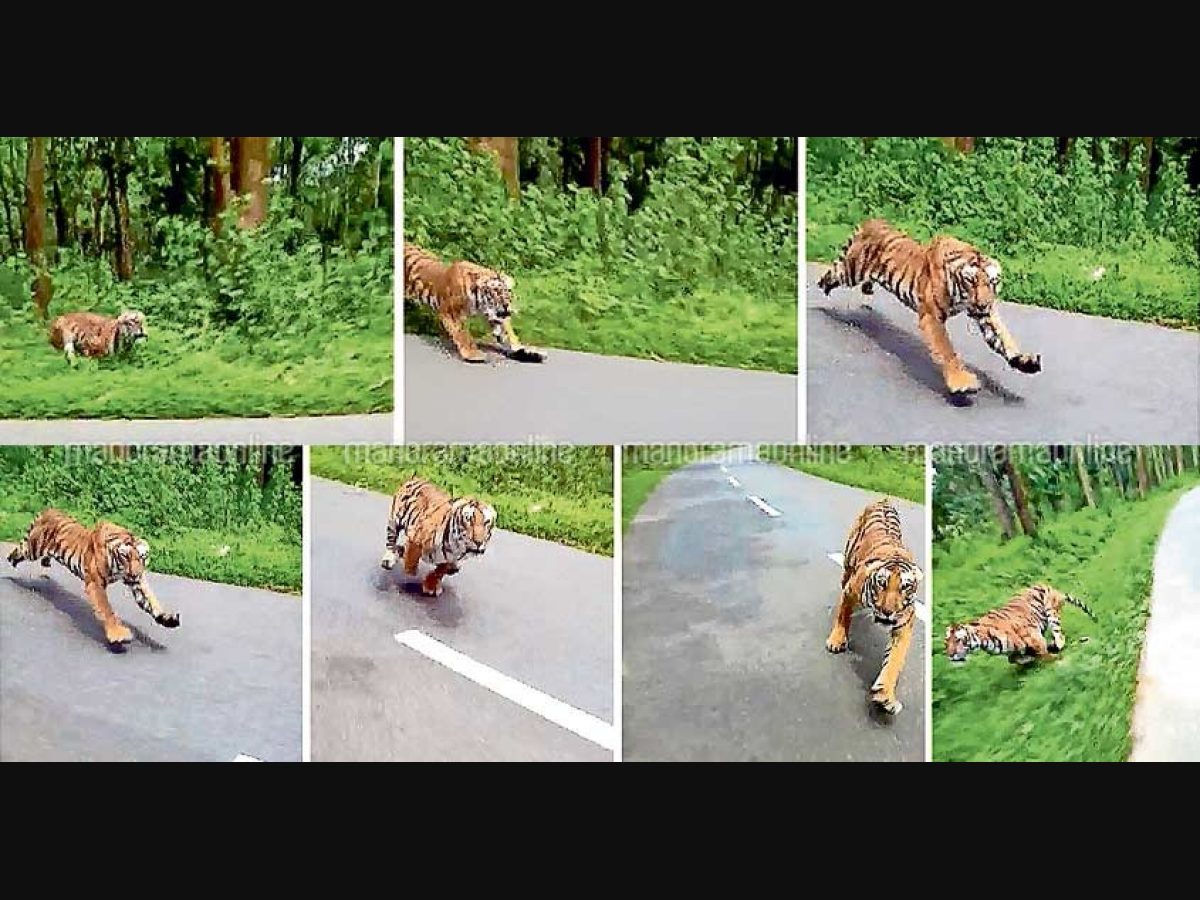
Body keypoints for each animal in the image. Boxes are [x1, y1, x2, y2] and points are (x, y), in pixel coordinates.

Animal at [6, 509, 179, 649]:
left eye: (142, 557)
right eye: (126, 557)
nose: (135, 573)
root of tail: (48, 510)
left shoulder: (137, 582)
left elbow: (151, 601)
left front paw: (167, 619)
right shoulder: (96, 583)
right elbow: (107, 609)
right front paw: (118, 634)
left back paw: (45, 564)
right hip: (32, 548)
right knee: (18, 551)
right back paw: (10, 566)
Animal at [403, 243, 545, 364]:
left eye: (509, 291)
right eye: (496, 291)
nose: (507, 306)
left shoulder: (495, 315)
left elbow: (508, 334)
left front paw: (528, 352)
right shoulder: (452, 312)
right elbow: (463, 334)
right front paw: (473, 354)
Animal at [817, 219, 1041, 397]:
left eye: (993, 282)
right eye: (971, 281)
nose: (983, 303)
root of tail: (871, 221)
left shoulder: (985, 314)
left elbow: (1003, 337)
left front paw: (1024, 361)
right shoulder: (932, 316)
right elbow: (947, 350)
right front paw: (962, 382)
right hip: (850, 271)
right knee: (832, 273)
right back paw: (821, 294)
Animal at [825, 497, 924, 715]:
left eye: (905, 587)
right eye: (882, 584)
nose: (888, 612)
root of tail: (883, 498)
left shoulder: (904, 622)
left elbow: (895, 659)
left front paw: (885, 696)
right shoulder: (850, 591)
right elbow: (843, 615)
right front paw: (836, 640)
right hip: (848, 564)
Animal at [944, 584, 1095, 665]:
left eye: (957, 640)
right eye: (946, 643)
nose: (950, 655)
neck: (983, 641)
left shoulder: (1032, 635)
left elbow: (1043, 652)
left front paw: (1052, 659)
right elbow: (1014, 659)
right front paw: (1027, 658)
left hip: (1051, 611)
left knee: (1059, 635)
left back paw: (1056, 645)